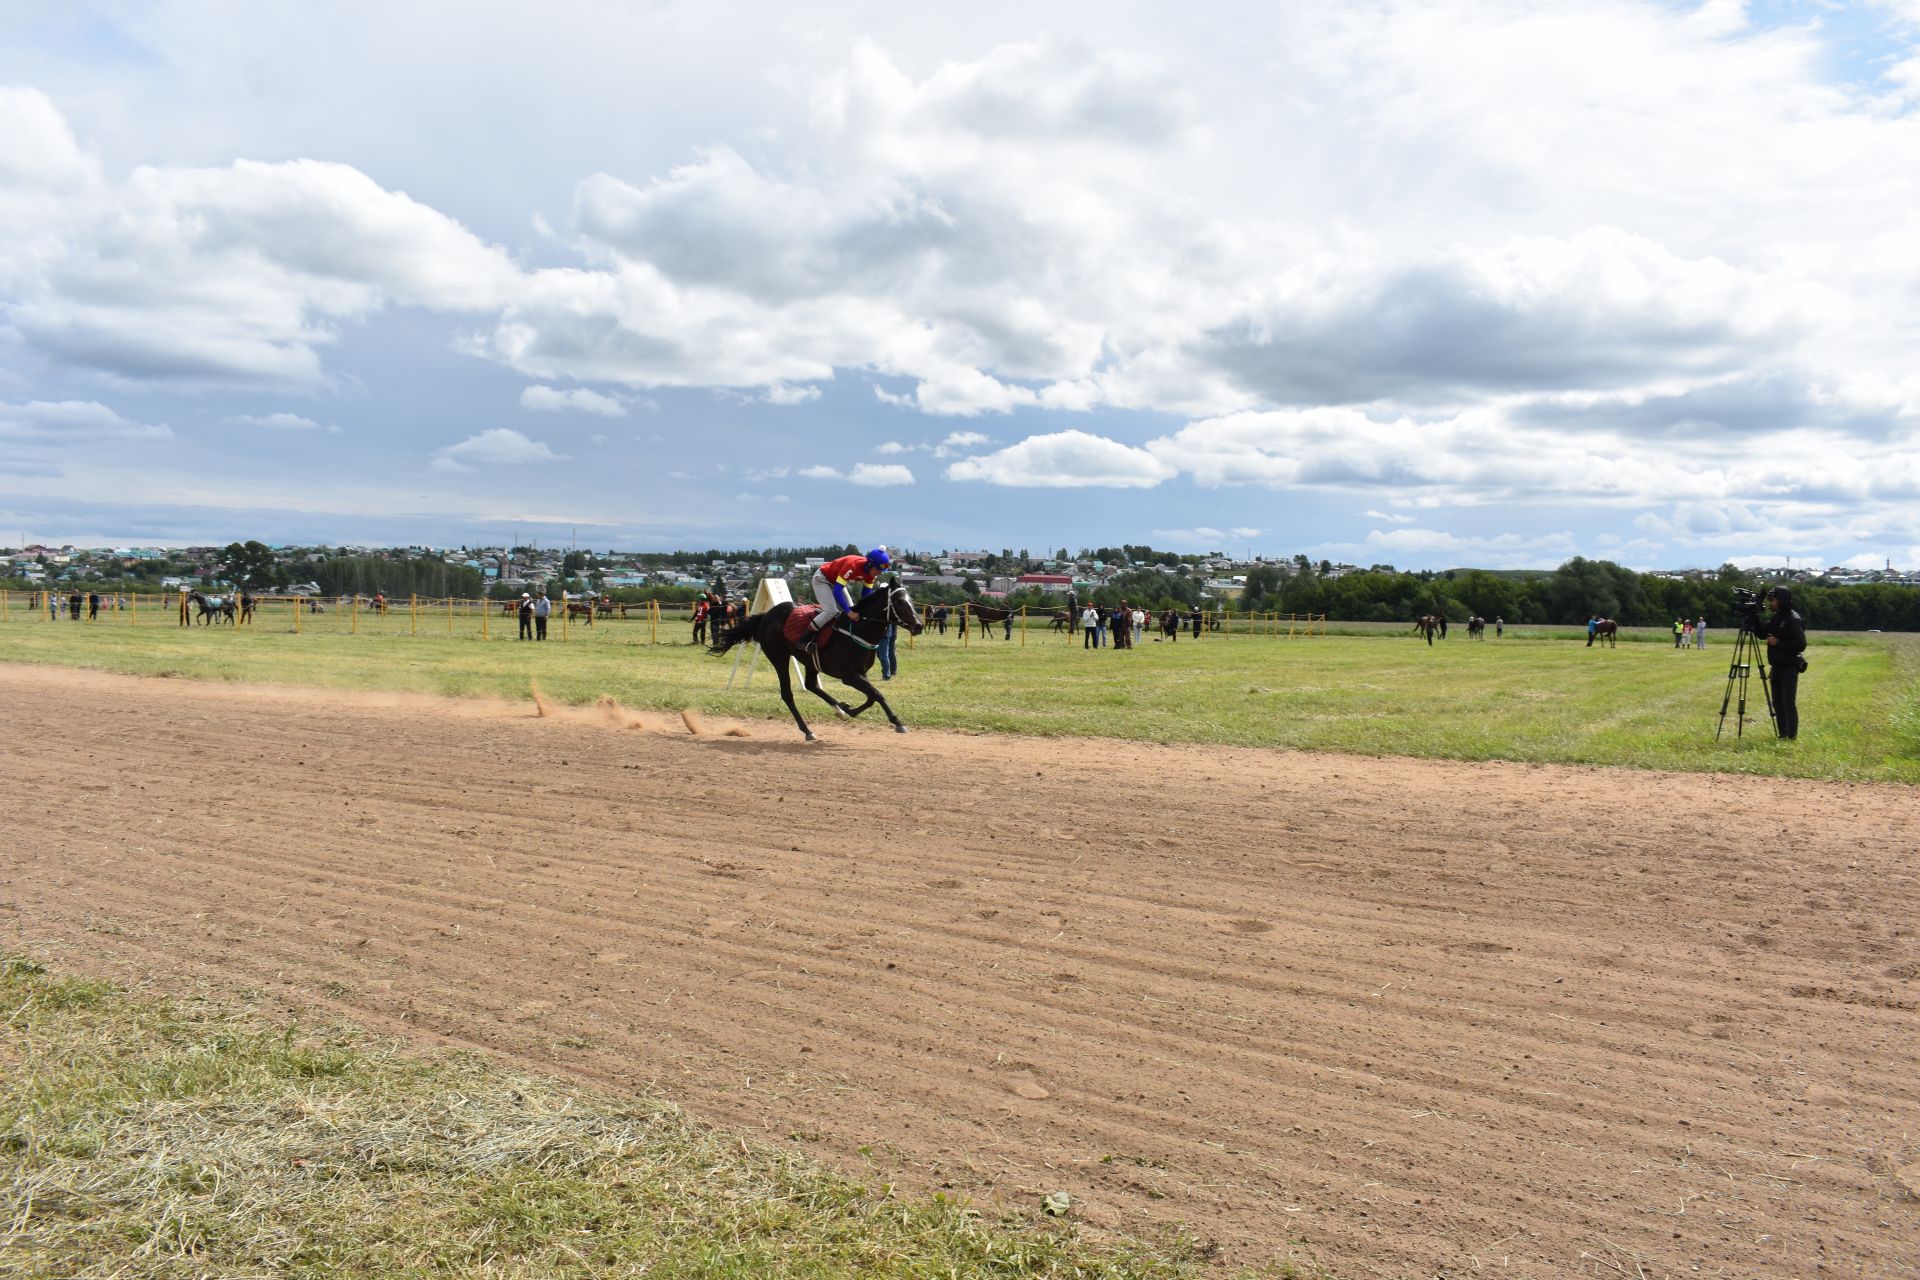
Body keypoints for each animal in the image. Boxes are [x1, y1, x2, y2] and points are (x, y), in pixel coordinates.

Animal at [718, 579, 933, 740]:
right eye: (900, 602)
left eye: (911, 601)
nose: (918, 625)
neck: (859, 629)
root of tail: (765, 616)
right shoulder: (849, 675)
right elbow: (877, 694)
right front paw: (897, 722)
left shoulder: (860, 673)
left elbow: (872, 696)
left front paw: (848, 709)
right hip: (779, 656)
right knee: (787, 693)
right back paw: (807, 731)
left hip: (809, 661)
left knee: (811, 684)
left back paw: (839, 710)